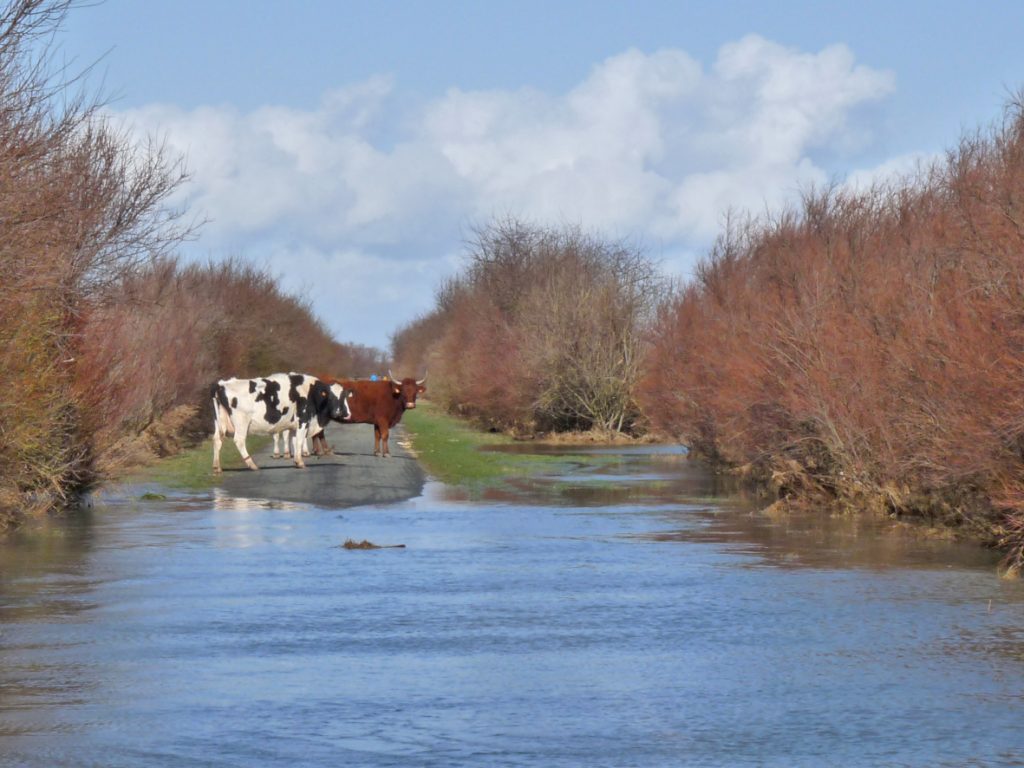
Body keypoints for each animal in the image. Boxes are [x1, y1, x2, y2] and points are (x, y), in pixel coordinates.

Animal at [210, 372, 347, 473]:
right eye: (329, 397)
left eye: (342, 397)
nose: (339, 412)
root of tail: (221, 384)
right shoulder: (303, 420)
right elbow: (300, 440)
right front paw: (300, 462)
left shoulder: (294, 425)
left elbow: (294, 440)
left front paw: (296, 460)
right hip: (241, 422)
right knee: (239, 440)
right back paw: (252, 464)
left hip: (219, 422)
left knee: (217, 440)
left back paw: (217, 467)